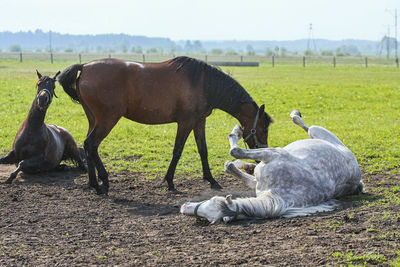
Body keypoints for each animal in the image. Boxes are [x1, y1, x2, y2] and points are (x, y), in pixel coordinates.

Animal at [58, 57, 272, 195]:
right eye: (263, 128)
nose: (261, 154)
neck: (204, 83)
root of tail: (85, 66)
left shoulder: (199, 121)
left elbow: (203, 150)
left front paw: (211, 180)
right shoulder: (185, 122)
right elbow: (177, 151)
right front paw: (169, 182)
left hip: (94, 120)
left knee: (87, 145)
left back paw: (94, 184)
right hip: (107, 119)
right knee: (91, 144)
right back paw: (103, 181)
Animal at [180, 110, 364, 224]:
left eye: (211, 201)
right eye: (208, 219)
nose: (184, 208)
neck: (277, 194)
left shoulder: (273, 153)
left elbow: (235, 151)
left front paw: (236, 131)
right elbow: (236, 167)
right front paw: (240, 165)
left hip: (317, 131)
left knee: (305, 125)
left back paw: (295, 114)